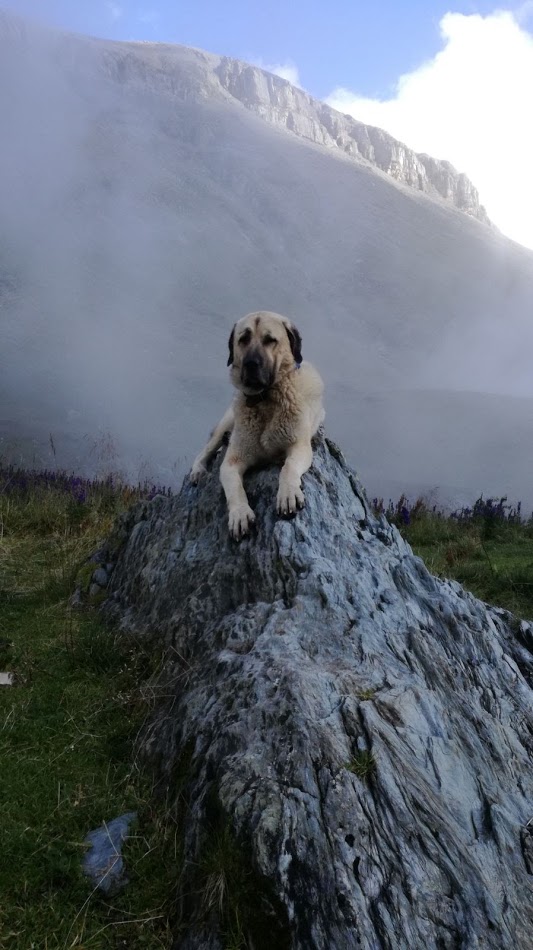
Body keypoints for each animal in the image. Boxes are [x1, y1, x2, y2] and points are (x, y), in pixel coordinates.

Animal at [191, 310, 324, 540]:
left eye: (270, 340)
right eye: (243, 339)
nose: (251, 364)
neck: (265, 402)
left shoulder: (299, 446)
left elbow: (289, 467)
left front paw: (287, 494)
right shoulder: (232, 461)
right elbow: (234, 487)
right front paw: (240, 514)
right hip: (227, 421)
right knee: (208, 447)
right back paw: (197, 469)